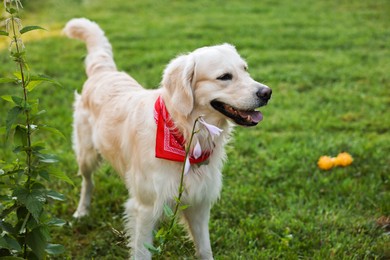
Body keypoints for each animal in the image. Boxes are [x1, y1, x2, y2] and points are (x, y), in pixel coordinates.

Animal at [64, 17, 272, 258]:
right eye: (224, 77)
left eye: (245, 69)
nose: (267, 92)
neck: (183, 135)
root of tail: (104, 72)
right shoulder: (145, 210)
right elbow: (142, 252)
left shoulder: (199, 205)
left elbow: (205, 250)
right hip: (86, 153)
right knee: (87, 181)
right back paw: (82, 211)